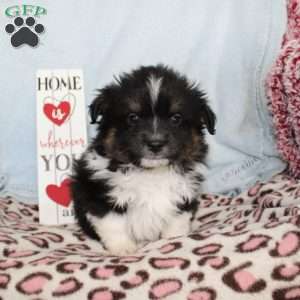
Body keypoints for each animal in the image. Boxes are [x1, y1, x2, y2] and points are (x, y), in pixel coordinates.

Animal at [70, 65, 216, 255]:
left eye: (176, 118)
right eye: (133, 117)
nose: (155, 144)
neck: (151, 173)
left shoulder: (183, 195)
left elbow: (177, 223)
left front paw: (175, 239)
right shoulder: (100, 195)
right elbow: (114, 224)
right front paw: (123, 248)